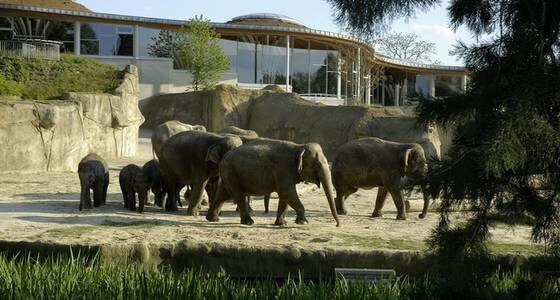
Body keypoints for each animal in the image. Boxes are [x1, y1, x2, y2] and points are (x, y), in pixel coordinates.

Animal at [205, 139, 336, 226]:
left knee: (224, 194)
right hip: (232, 173)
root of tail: (223, 158)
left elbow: (285, 196)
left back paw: (212, 219)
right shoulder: (284, 169)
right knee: (238, 195)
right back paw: (249, 222)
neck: (299, 147)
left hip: (228, 175)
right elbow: (286, 192)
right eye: (317, 164)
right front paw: (303, 222)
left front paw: (282, 224)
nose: (337, 225)